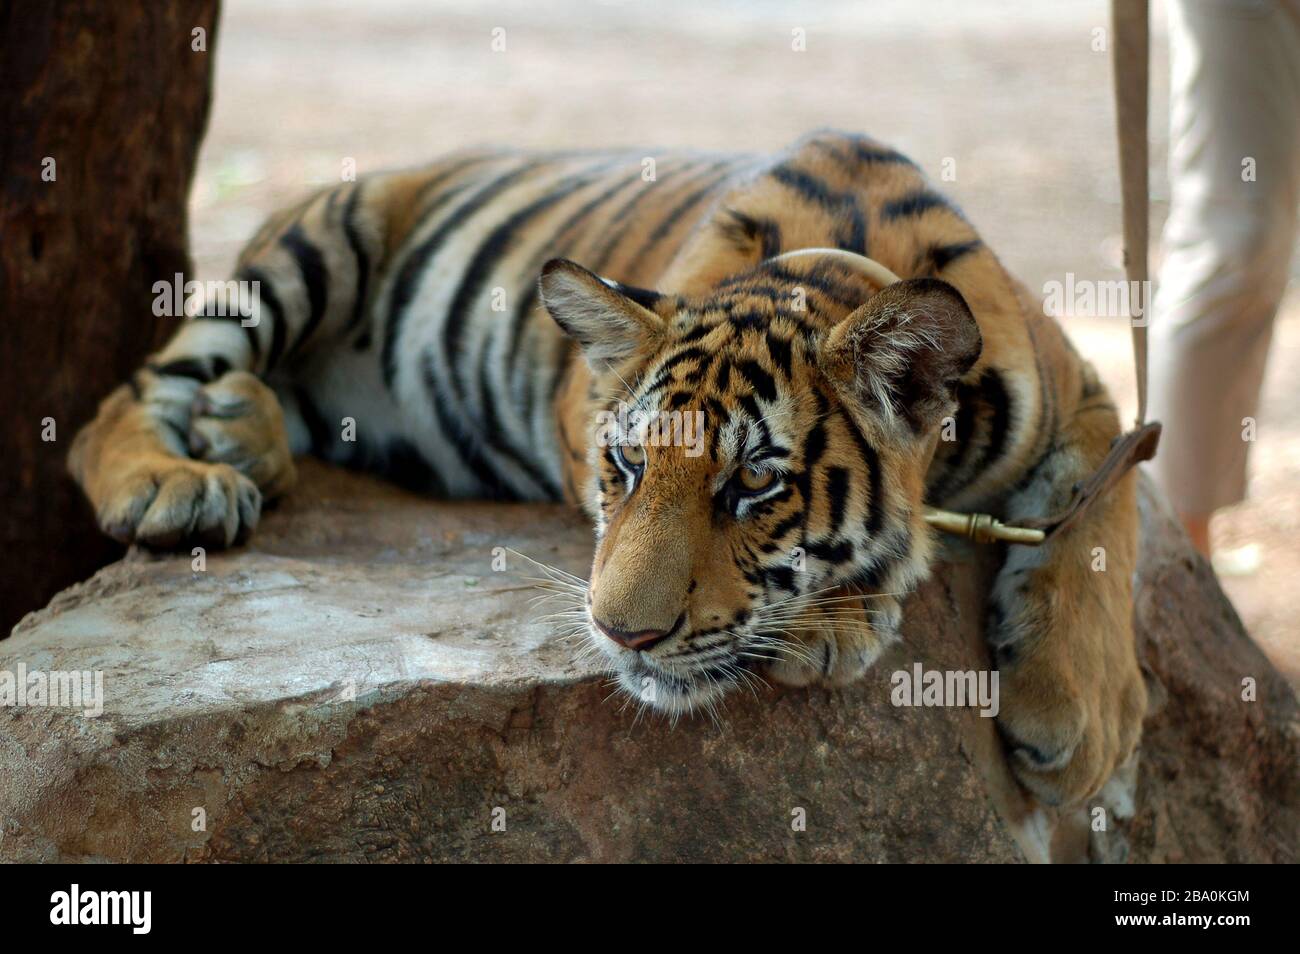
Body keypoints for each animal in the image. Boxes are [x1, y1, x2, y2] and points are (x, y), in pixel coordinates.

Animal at [71, 130, 1149, 811]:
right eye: (625, 465)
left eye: (754, 486)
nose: (621, 634)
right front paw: (839, 625)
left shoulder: (1095, 397)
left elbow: (1101, 524)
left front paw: (1080, 722)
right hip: (308, 248)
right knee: (127, 395)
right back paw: (179, 482)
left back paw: (238, 431)